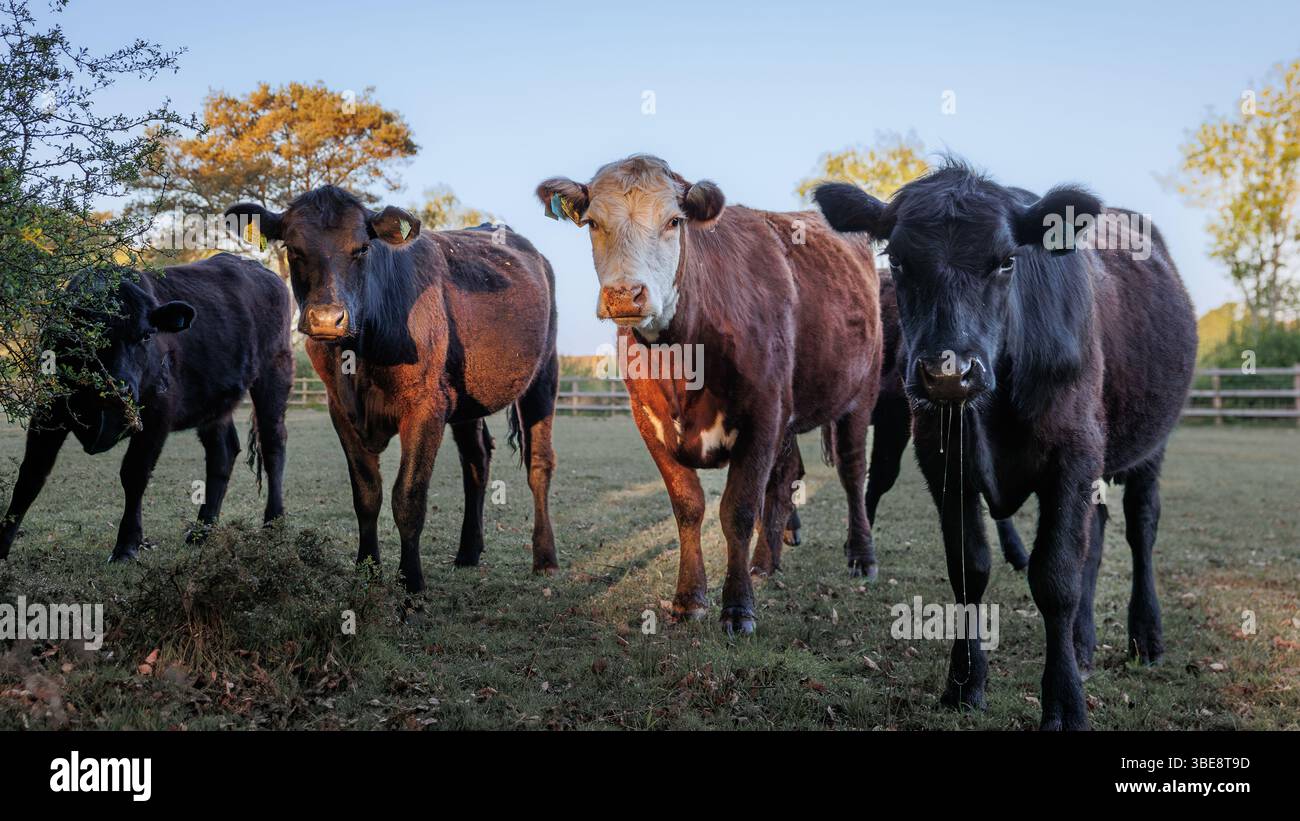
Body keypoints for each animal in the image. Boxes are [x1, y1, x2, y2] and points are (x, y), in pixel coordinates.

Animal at [0, 254, 293, 563]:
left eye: (146, 335)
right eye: (88, 335)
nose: (120, 387)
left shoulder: (157, 415)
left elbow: (134, 474)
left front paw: (127, 545)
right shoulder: (48, 411)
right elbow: (30, 475)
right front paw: (2, 544)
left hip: (275, 372)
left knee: (273, 446)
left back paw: (273, 523)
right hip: (215, 402)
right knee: (222, 452)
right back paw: (202, 531)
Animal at [225, 186, 559, 593]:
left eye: (362, 249)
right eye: (294, 248)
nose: (327, 319)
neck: (360, 356)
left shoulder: (426, 406)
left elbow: (409, 497)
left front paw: (411, 584)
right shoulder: (341, 409)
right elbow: (366, 494)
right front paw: (366, 570)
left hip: (544, 373)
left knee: (538, 463)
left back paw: (545, 559)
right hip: (466, 400)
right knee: (476, 460)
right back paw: (468, 551)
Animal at [537, 154, 883, 634]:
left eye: (673, 221)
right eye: (592, 222)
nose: (625, 294)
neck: (683, 359)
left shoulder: (763, 414)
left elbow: (738, 510)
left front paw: (737, 607)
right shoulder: (648, 420)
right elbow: (688, 506)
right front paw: (689, 597)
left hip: (859, 395)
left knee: (852, 472)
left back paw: (861, 557)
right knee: (785, 478)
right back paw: (765, 562)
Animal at [815, 160, 1197, 729]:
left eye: (1005, 261)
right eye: (898, 261)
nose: (947, 373)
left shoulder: (1073, 454)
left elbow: (1055, 578)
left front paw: (1064, 703)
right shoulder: (943, 459)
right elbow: (969, 568)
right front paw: (964, 682)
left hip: (1150, 446)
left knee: (1141, 527)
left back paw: (1144, 636)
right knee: (1096, 537)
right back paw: (1082, 642)